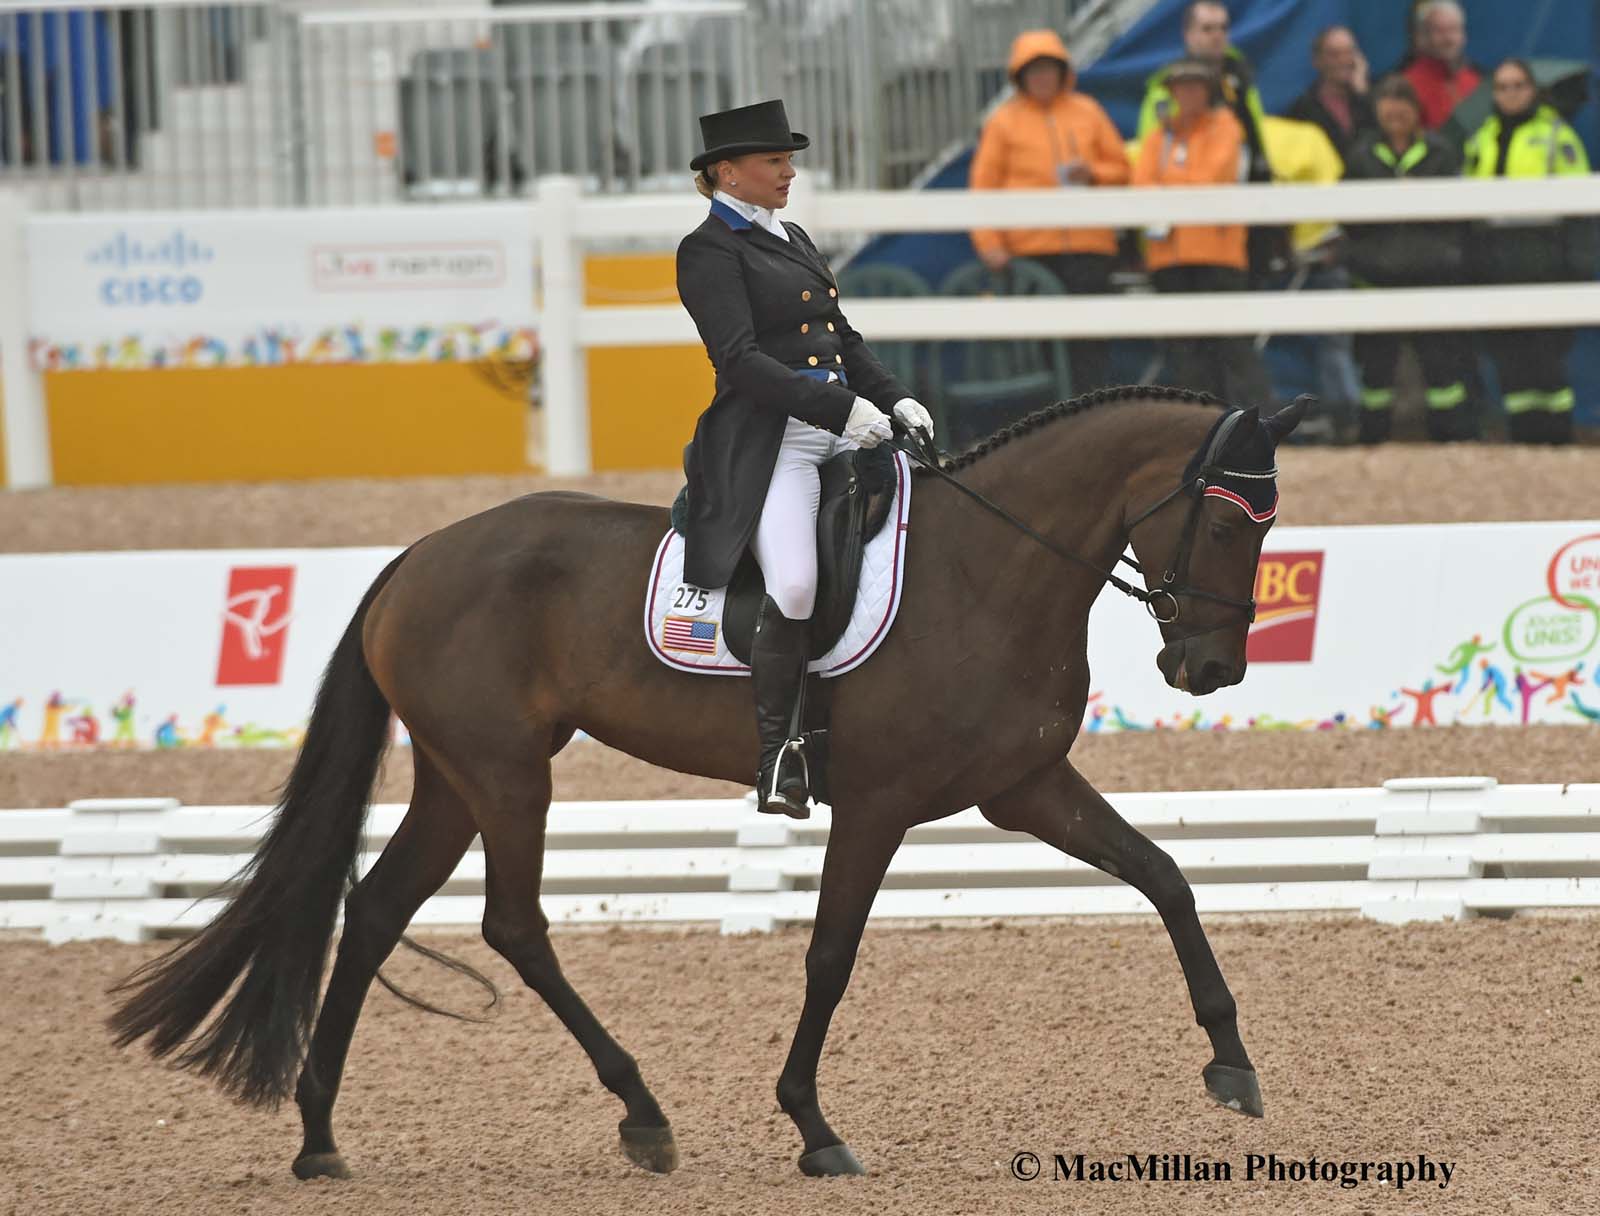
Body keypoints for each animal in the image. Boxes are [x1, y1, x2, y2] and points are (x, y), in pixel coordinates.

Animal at [109, 387, 1312, 1177]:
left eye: (1269, 525)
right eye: (1222, 517)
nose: (1209, 670)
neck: (987, 570)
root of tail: (415, 557)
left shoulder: (1024, 785)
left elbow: (1165, 876)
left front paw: (1233, 1066)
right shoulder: (877, 803)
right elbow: (830, 953)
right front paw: (813, 1127)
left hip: (457, 778)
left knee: (373, 911)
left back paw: (319, 1136)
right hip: (506, 773)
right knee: (513, 925)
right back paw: (641, 1113)